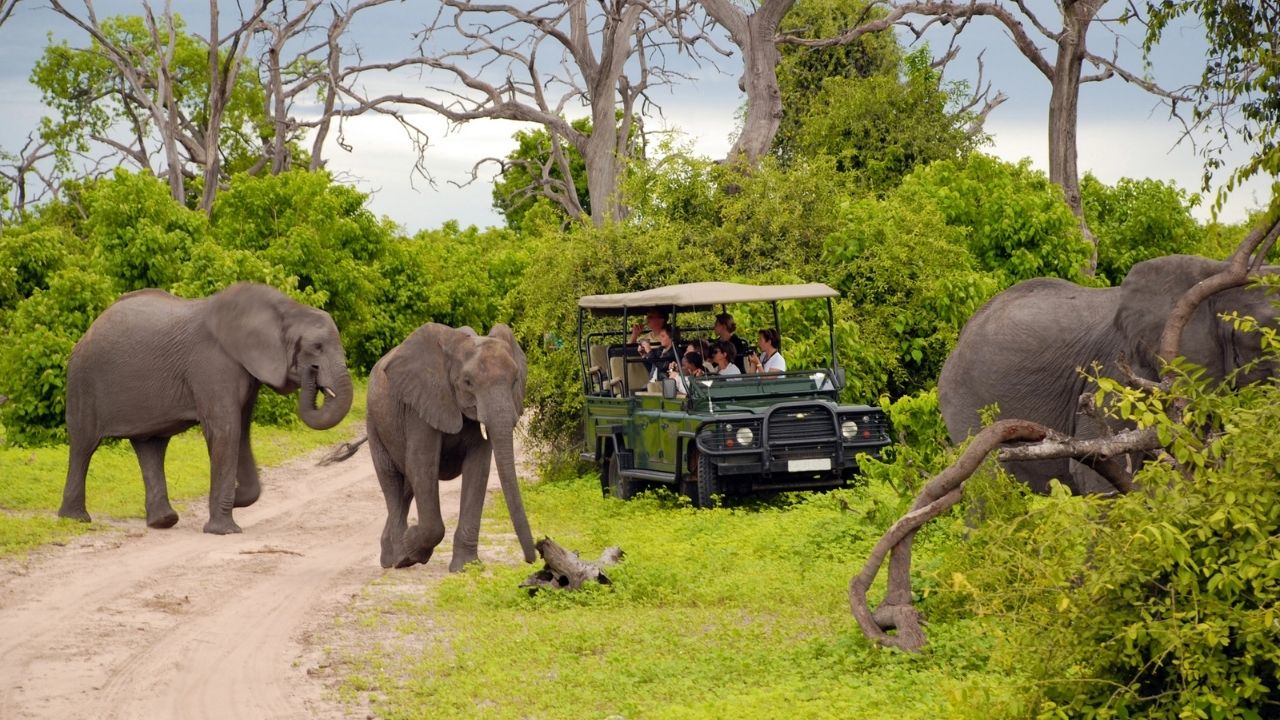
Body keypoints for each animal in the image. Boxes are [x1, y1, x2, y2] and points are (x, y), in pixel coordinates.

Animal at [58, 282, 354, 534]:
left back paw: (163, 522)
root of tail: (89, 329)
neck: (285, 308)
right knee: (84, 444)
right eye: (316, 348)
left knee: (151, 446)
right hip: (83, 381)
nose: (312, 374)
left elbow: (241, 431)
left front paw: (236, 500)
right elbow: (226, 430)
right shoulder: (212, 363)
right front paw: (224, 529)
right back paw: (76, 519)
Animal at [366, 322, 537, 571]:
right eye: (467, 382)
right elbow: (422, 464)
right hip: (374, 422)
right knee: (392, 481)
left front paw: (466, 567)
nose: (531, 559)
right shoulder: (421, 404)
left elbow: (478, 469)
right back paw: (398, 559)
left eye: (515, 380)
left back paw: (391, 555)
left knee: (407, 487)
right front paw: (412, 549)